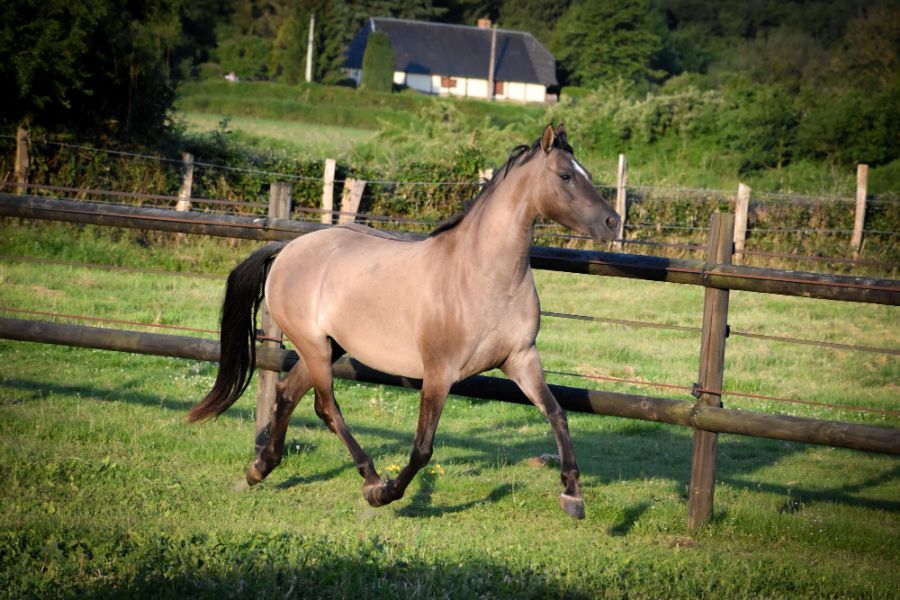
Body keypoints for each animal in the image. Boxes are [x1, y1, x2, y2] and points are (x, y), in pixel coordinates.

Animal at [189, 124, 620, 516]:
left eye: (586, 172)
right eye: (565, 176)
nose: (613, 222)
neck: (483, 276)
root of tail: (287, 248)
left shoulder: (521, 359)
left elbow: (558, 414)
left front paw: (572, 496)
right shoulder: (439, 373)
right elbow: (423, 447)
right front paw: (386, 494)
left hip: (328, 347)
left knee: (287, 393)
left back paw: (260, 468)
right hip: (313, 347)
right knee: (326, 407)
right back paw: (369, 478)